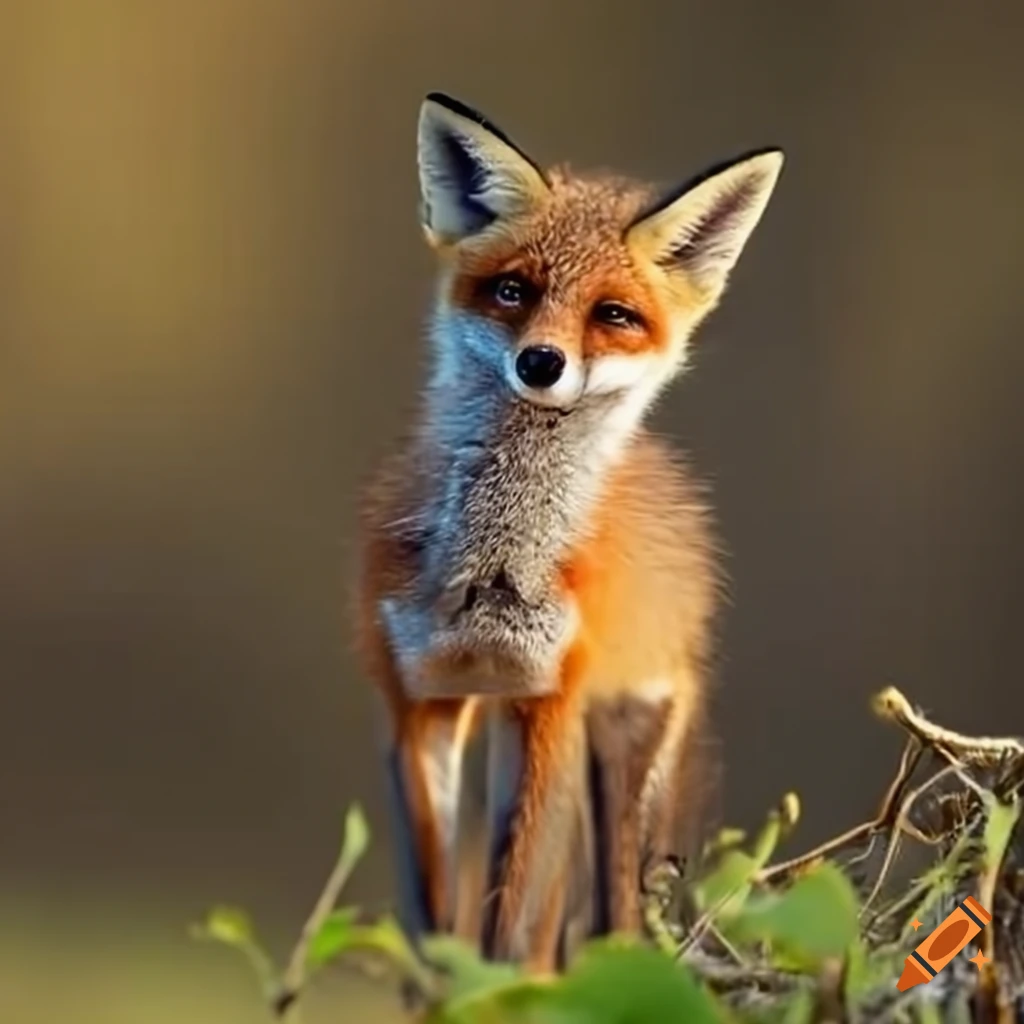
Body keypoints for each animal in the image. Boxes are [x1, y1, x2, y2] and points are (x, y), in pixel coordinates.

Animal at [353, 92, 784, 973]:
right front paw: (449, 990)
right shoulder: (415, 701)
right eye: (513, 291)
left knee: (609, 911)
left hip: (620, 747)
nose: (542, 364)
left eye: (611, 315)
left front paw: (501, 990)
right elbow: (439, 923)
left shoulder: (551, 703)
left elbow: (515, 925)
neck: (491, 567)